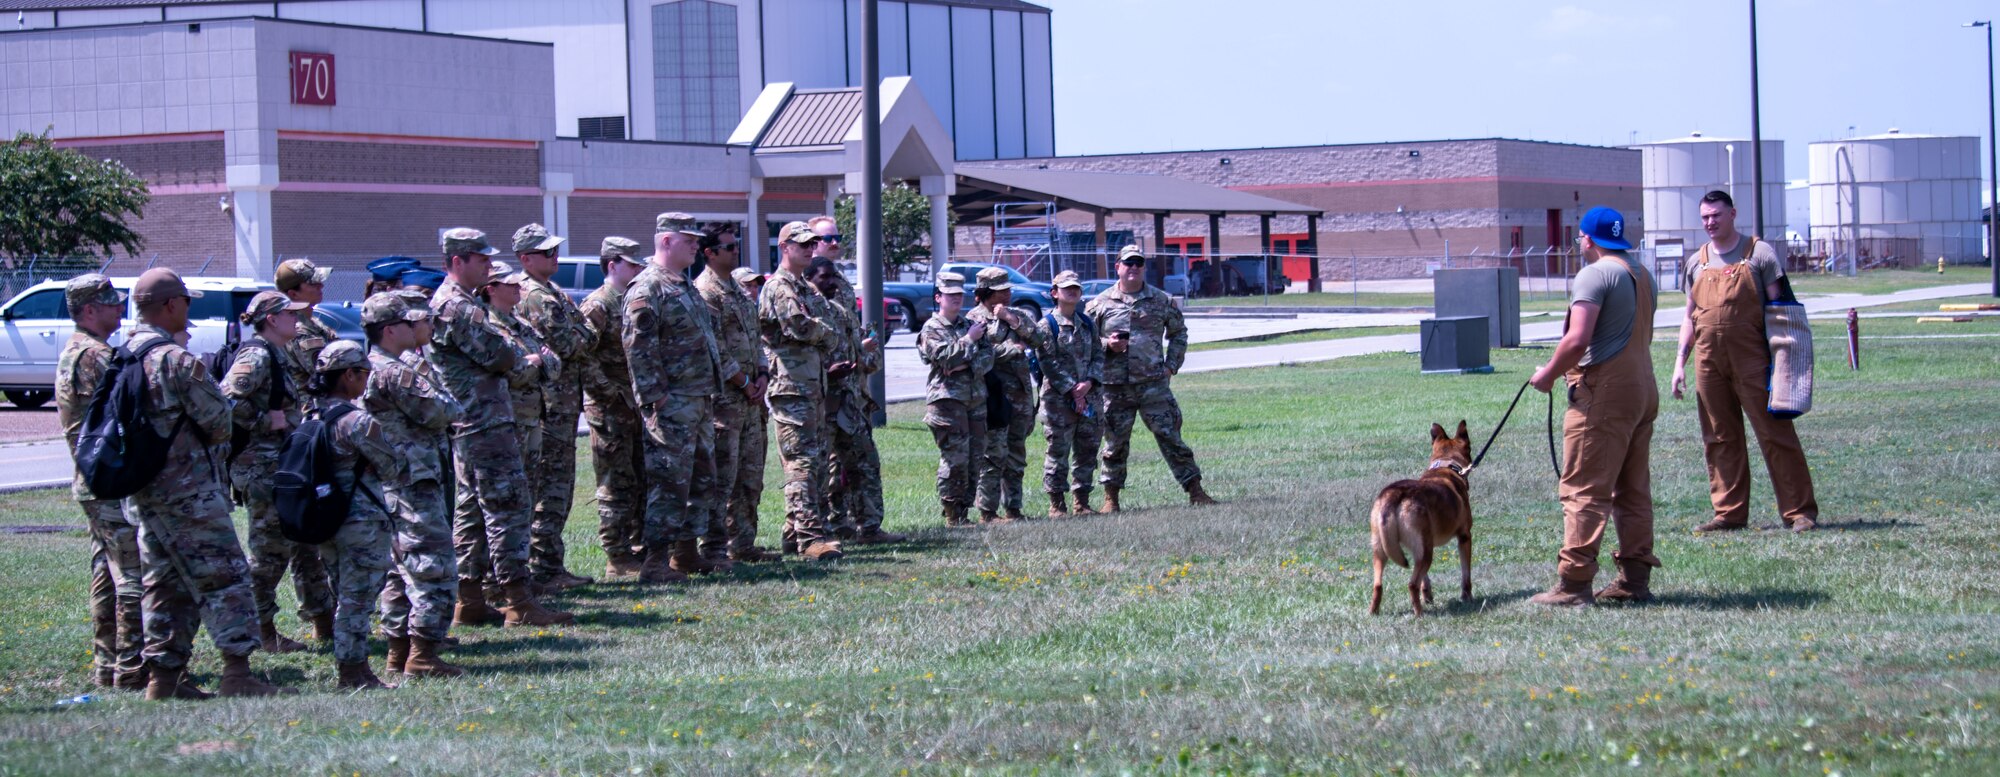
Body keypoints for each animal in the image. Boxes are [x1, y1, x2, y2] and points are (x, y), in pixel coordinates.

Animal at [1368, 422, 1480, 616]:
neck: (1446, 466)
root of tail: (1395, 494)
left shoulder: (1419, 547)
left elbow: (1425, 580)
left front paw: (1428, 596)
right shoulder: (1465, 537)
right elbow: (1466, 575)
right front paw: (1467, 597)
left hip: (1383, 550)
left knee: (1378, 585)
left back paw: (1373, 612)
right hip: (1426, 552)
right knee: (1412, 584)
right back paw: (1419, 614)